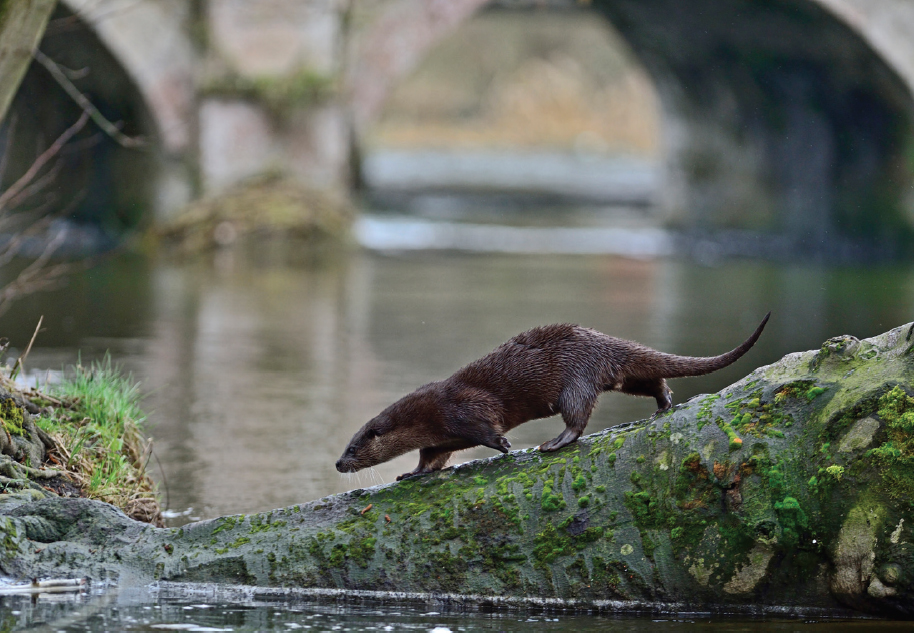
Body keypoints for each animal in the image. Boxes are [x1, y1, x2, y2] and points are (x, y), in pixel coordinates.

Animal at [332, 314, 764, 482]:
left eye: (353, 447)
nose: (337, 463)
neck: (425, 415)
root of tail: (601, 339)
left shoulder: (461, 409)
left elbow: (485, 428)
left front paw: (504, 445)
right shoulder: (441, 437)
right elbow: (431, 458)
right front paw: (411, 473)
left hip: (576, 379)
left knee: (578, 418)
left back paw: (553, 443)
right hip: (616, 376)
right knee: (648, 380)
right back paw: (664, 404)